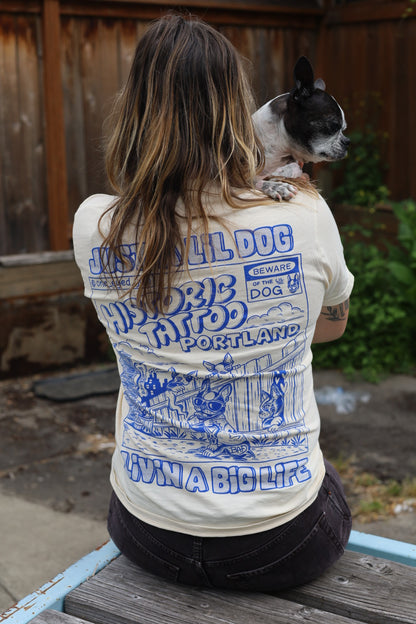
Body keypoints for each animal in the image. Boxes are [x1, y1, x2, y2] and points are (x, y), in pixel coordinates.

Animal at [252, 55, 350, 199]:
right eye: (333, 126)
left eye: (343, 129)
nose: (347, 142)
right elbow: (256, 180)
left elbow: (291, 168)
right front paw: (276, 186)